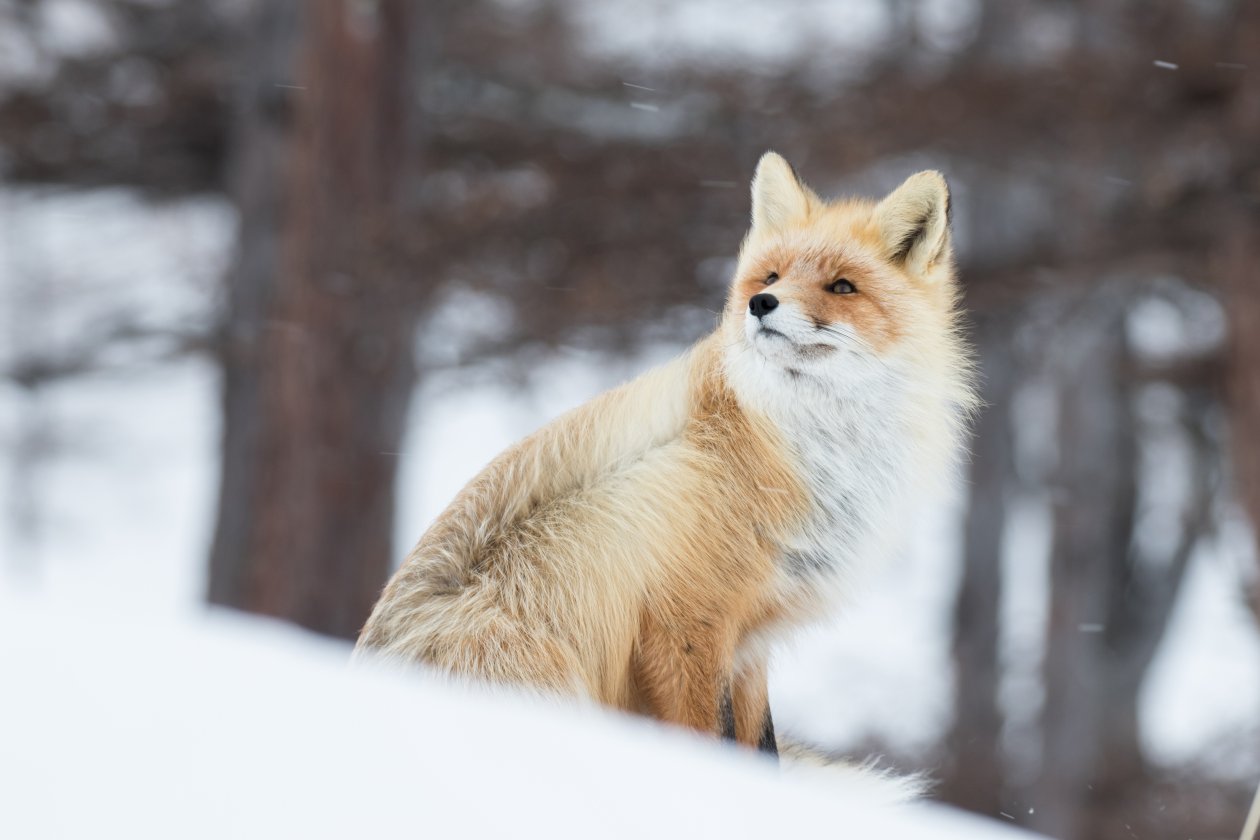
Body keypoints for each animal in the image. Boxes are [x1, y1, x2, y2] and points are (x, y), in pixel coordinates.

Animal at [356, 152, 975, 757]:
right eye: (772, 276)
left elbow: (763, 746)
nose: (761, 303)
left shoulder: (751, 640)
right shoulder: (685, 626)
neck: (785, 447)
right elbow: (712, 739)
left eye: (843, 287)